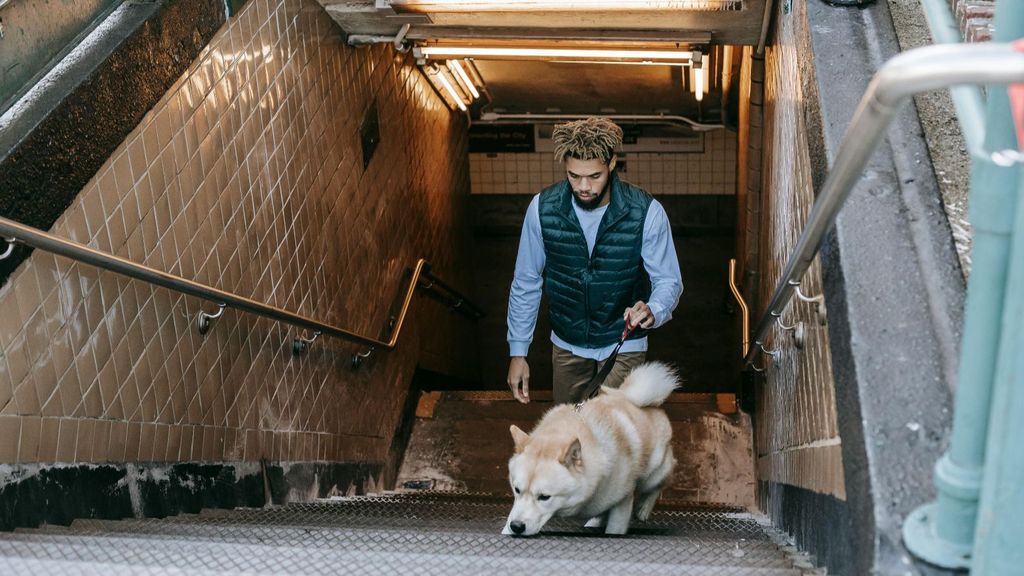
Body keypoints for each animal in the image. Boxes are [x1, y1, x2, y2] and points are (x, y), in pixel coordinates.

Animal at [499, 360, 675, 537]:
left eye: (544, 497)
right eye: (517, 490)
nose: (517, 526)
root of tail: (640, 402)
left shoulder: (623, 501)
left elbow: (614, 529)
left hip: (652, 474)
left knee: (660, 483)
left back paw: (644, 509)